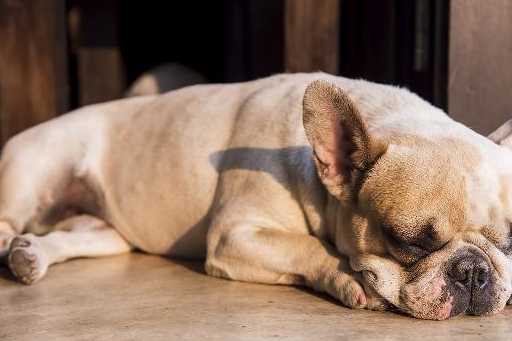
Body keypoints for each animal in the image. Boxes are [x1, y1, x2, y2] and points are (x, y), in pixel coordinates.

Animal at [1, 71, 512, 318]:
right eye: (408, 242)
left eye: (509, 243)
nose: (474, 273)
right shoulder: (236, 235)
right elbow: (310, 246)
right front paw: (349, 279)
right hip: (33, 169)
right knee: (6, 218)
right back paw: (11, 246)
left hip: (108, 232)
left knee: (73, 237)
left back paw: (31, 256)